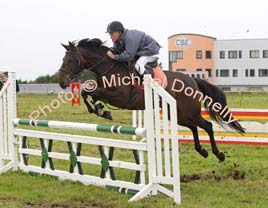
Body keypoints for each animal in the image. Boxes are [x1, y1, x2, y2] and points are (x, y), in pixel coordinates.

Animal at [58, 38, 245, 162]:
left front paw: (102, 111)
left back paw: (218, 154)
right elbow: (87, 93)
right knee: (193, 127)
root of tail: (193, 80)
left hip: (190, 111)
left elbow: (93, 93)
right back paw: (202, 151)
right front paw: (99, 110)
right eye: (63, 59)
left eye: (71, 60)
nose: (62, 82)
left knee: (207, 126)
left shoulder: (120, 97)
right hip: (177, 114)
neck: (109, 68)